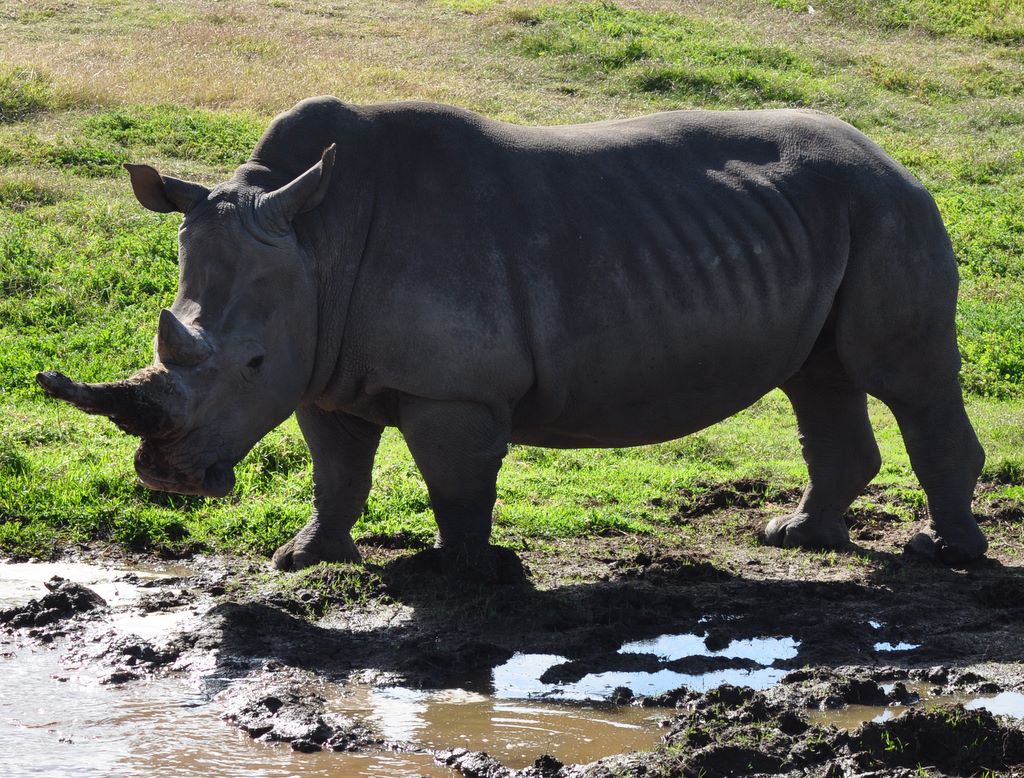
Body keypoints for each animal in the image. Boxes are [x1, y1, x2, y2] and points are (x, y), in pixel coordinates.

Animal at [38, 97, 988, 575]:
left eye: (250, 361)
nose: (168, 480)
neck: (316, 238)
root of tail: (893, 158)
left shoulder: (449, 387)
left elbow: (456, 483)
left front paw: (462, 574)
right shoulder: (321, 370)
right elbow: (336, 472)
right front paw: (303, 559)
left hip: (886, 210)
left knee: (902, 376)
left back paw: (944, 555)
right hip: (829, 219)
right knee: (818, 376)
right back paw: (796, 538)